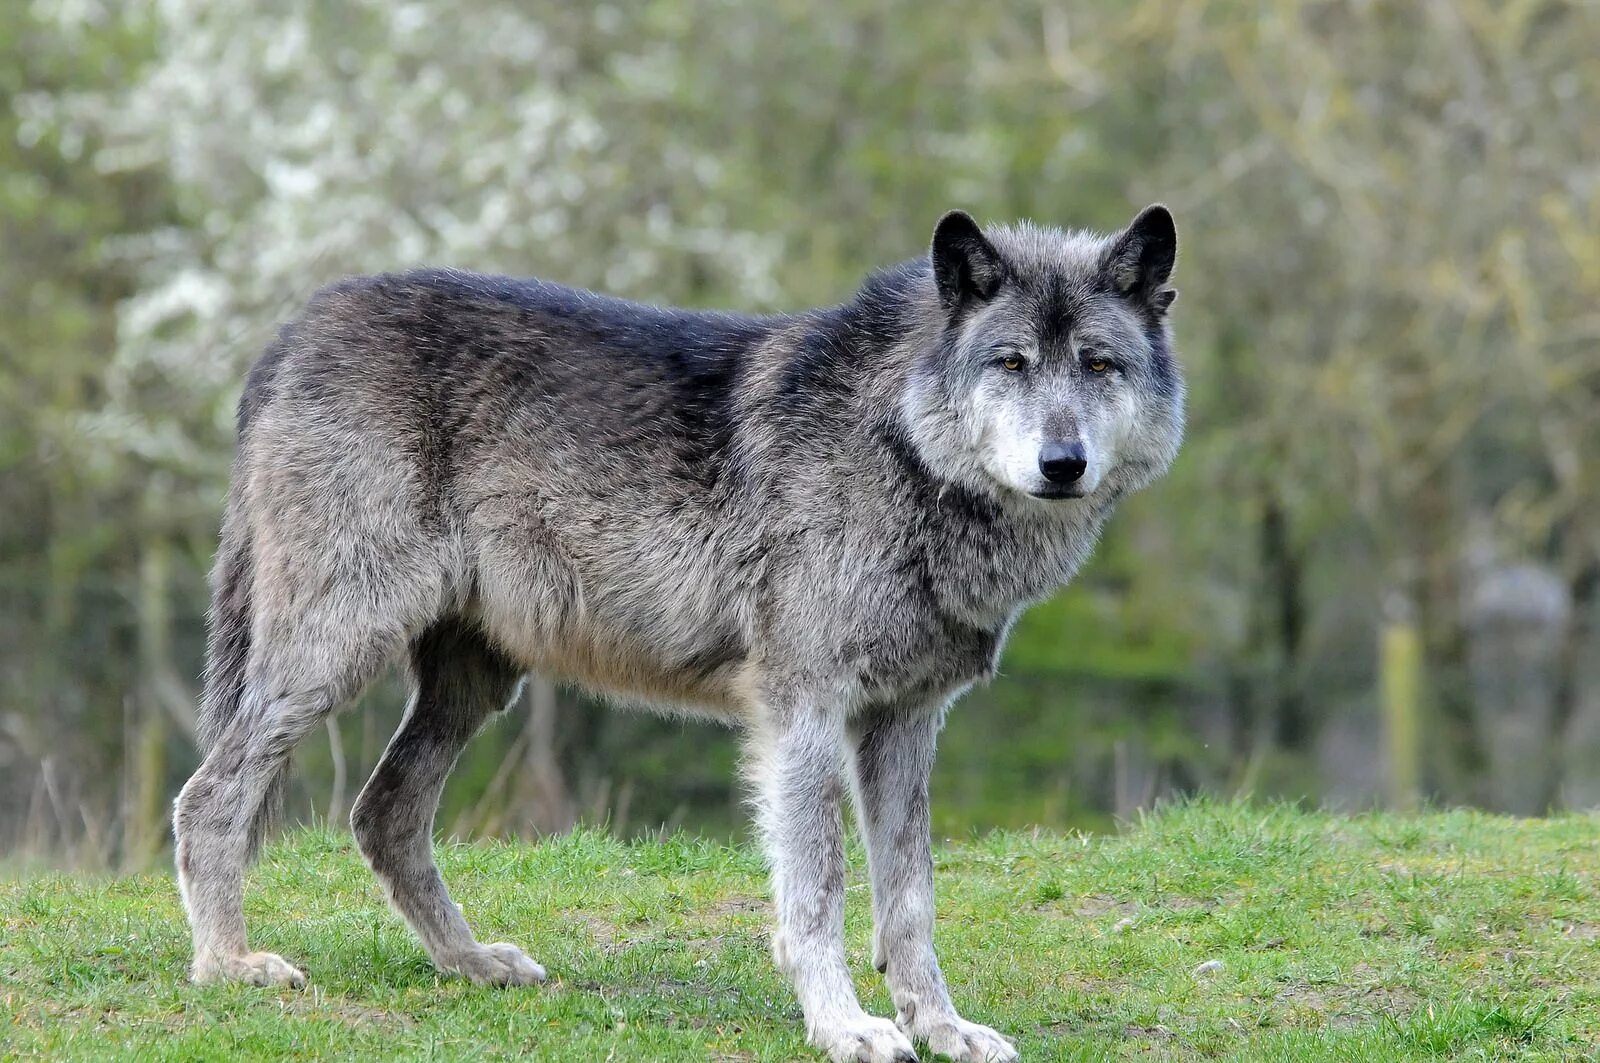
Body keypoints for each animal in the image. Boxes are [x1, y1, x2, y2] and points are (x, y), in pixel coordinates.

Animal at [175, 203, 1184, 1056]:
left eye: (1098, 364)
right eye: (1011, 363)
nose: (1063, 462)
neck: (899, 445)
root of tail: (294, 328)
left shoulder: (904, 721)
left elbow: (911, 900)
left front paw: (942, 1027)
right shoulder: (802, 711)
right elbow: (818, 890)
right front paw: (843, 1025)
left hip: (473, 683)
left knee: (383, 812)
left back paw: (471, 962)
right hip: (336, 653)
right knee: (210, 797)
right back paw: (228, 964)